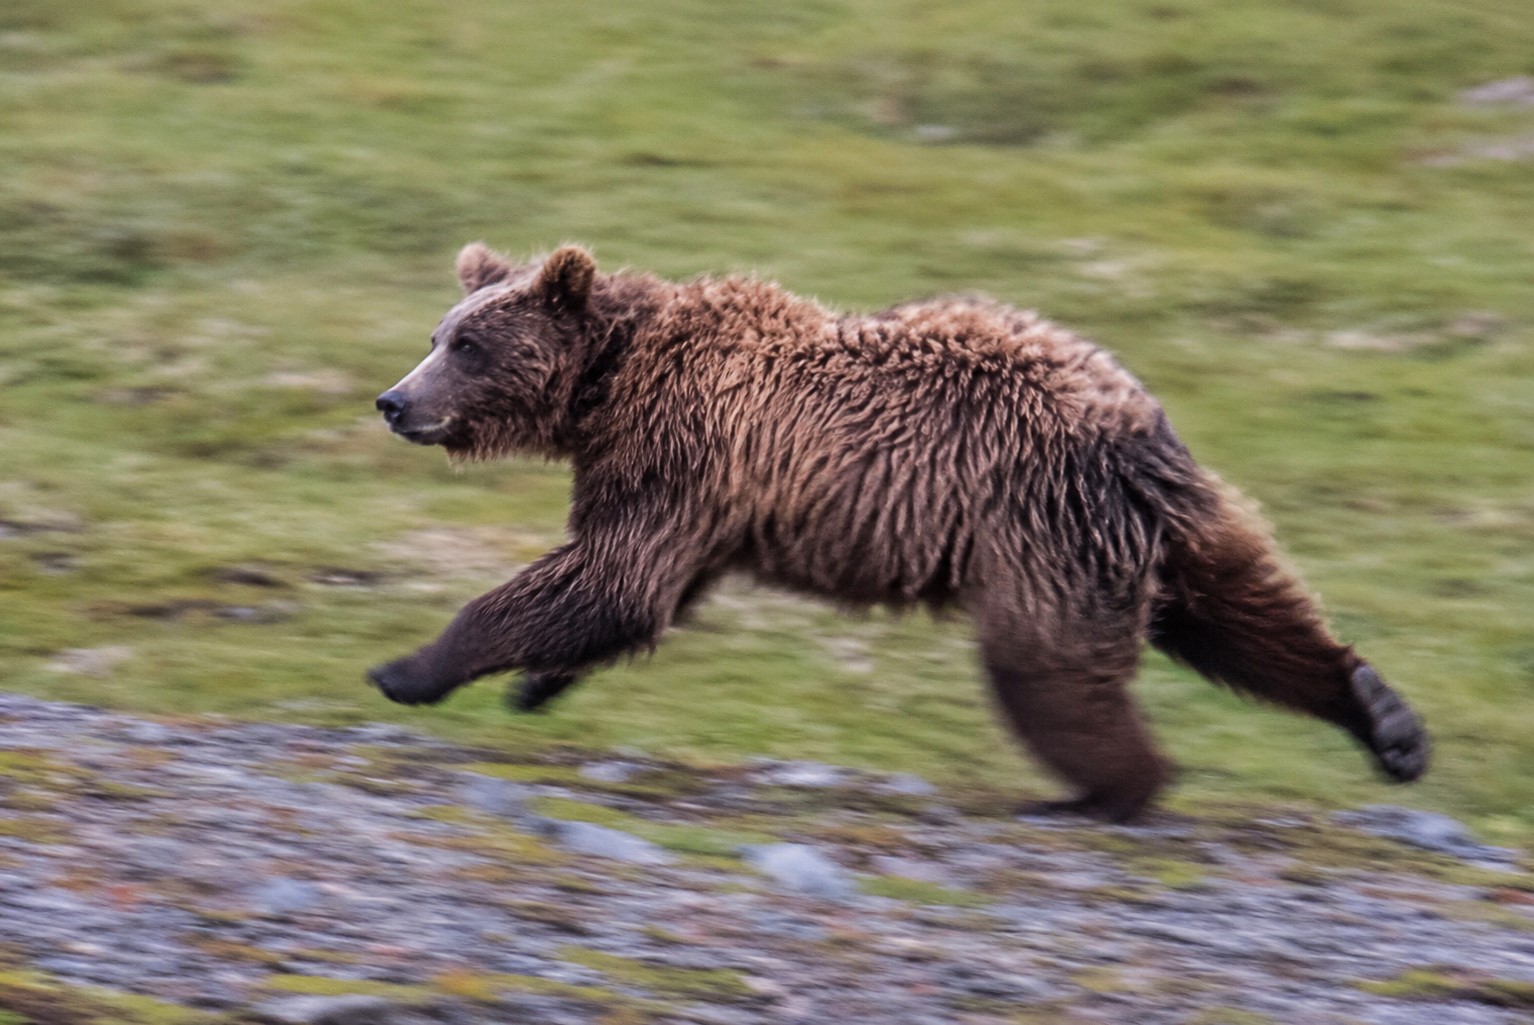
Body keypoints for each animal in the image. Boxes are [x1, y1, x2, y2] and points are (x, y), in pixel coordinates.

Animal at [368, 242, 1429, 821]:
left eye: (467, 344)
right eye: (437, 333)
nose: (392, 400)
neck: (609, 382)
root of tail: (1132, 420)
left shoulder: (682, 453)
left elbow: (607, 579)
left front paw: (409, 665)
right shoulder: (704, 494)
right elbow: (635, 592)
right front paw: (537, 681)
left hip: (1040, 524)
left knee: (1048, 666)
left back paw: (1107, 788)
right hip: (1165, 527)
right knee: (1242, 612)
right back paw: (1384, 717)